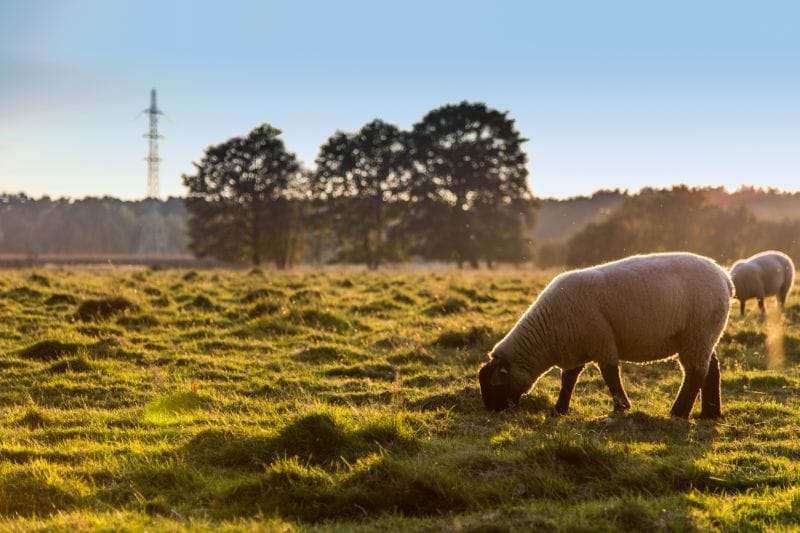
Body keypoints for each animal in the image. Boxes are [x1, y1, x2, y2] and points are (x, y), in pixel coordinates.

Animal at [478, 251, 736, 418]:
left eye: (494, 385)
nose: (491, 412)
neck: (546, 335)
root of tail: (724, 276)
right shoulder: (575, 346)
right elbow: (569, 379)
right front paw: (560, 409)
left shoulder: (601, 342)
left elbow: (610, 374)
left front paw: (622, 407)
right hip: (703, 334)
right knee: (712, 367)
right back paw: (710, 412)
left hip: (698, 332)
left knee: (696, 371)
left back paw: (679, 412)